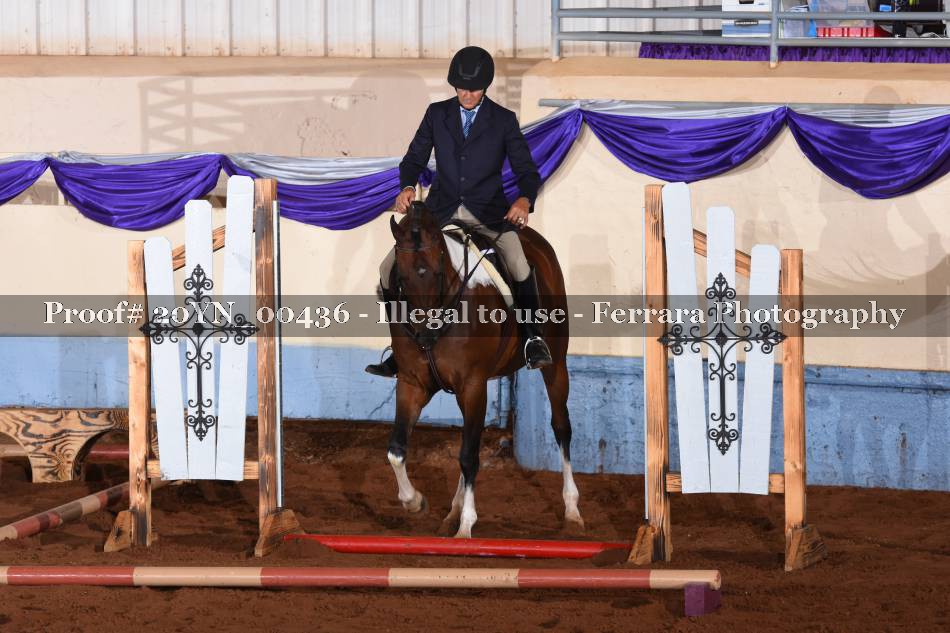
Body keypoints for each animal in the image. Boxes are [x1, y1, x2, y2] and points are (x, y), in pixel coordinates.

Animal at [384, 201, 583, 538]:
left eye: (438, 271)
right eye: (403, 276)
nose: (425, 336)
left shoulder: (473, 384)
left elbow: (468, 456)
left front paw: (466, 526)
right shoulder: (413, 383)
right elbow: (397, 450)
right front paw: (415, 502)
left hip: (555, 365)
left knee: (561, 427)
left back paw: (572, 510)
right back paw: (452, 510)